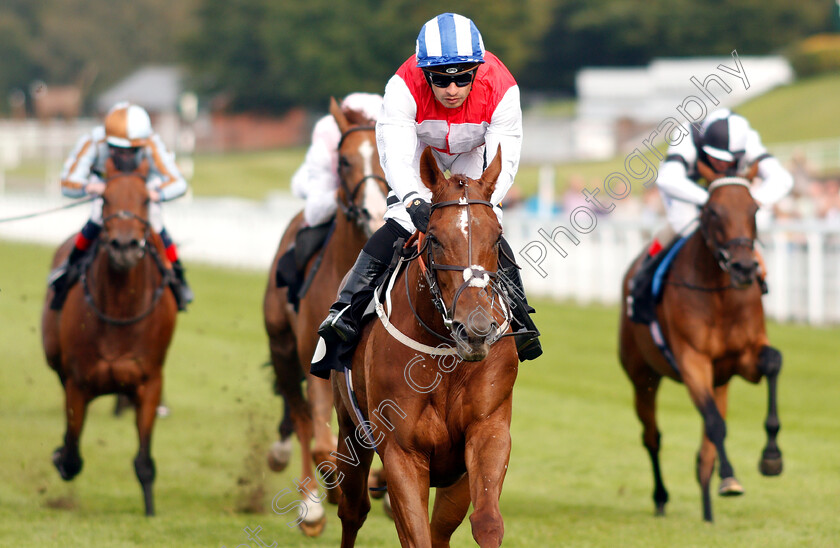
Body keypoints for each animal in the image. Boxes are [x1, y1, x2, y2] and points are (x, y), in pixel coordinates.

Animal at [41, 163, 177, 512]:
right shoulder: (78, 383)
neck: (120, 309)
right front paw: (59, 455)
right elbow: (72, 455)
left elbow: (144, 462)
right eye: (105, 199)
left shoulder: (150, 382)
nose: (125, 246)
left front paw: (150, 512)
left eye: (145, 200)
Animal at [262, 97, 390, 536]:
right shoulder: (316, 360)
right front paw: (325, 496)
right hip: (282, 349)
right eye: (345, 160)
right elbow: (319, 441)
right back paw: (312, 502)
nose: (374, 212)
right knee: (301, 420)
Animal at [330, 147, 520, 548]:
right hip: (350, 429)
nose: (475, 330)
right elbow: (417, 535)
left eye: (497, 237)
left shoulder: (487, 432)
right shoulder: (402, 453)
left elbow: (485, 523)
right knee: (352, 511)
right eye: (433, 238)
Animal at [616, 174, 780, 524]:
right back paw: (661, 497)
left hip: (720, 381)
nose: (744, 268)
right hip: (642, 377)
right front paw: (731, 474)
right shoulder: (692, 360)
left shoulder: (744, 359)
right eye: (713, 212)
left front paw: (771, 457)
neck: (720, 296)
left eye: (755, 210)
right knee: (652, 437)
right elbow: (716, 423)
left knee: (705, 445)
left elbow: (773, 361)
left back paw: (707, 507)